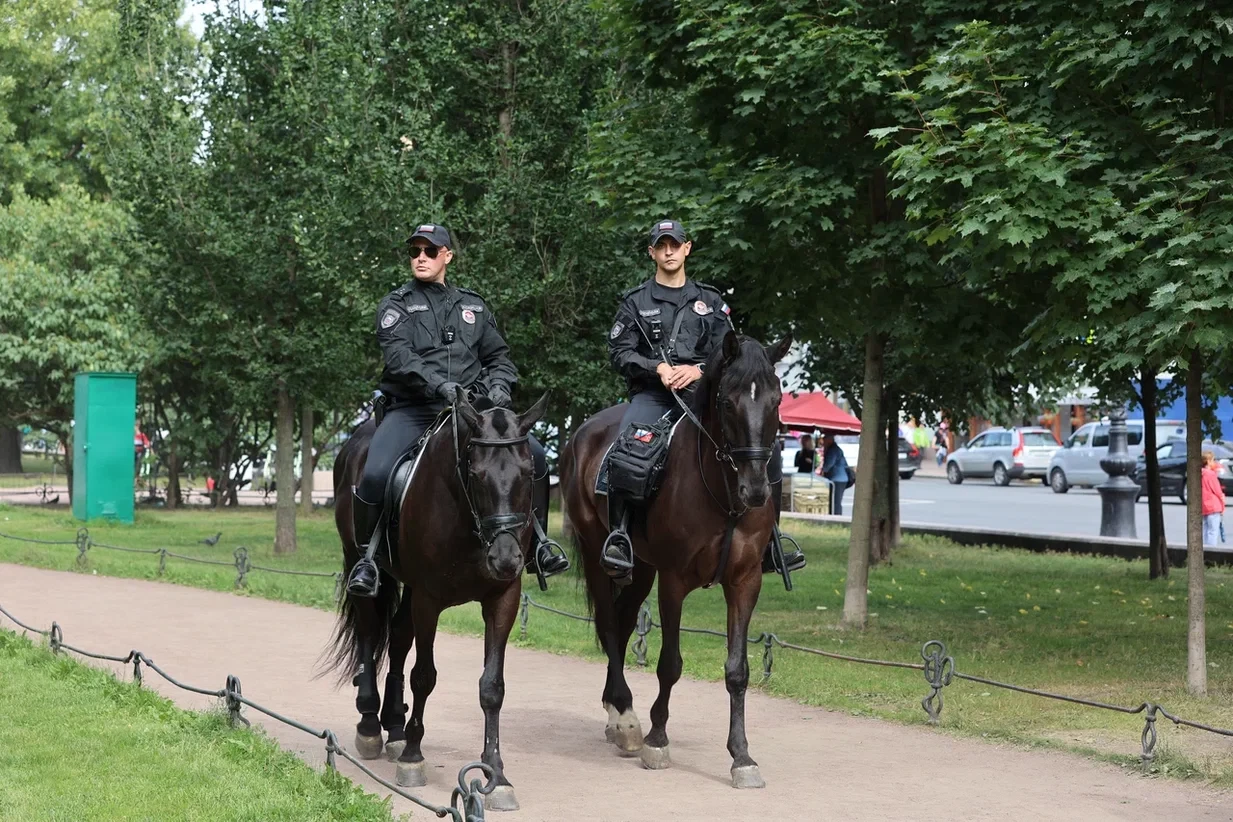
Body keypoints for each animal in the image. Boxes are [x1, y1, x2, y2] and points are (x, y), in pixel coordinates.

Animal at [323, 389, 544, 813]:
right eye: (477, 475)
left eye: (528, 474)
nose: (506, 558)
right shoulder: (428, 599)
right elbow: (424, 676)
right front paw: (413, 756)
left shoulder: (502, 599)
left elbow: (492, 687)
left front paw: (496, 775)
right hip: (365, 565)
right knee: (371, 632)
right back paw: (372, 725)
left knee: (397, 638)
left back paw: (394, 725)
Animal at [559, 335, 789, 788]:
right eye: (728, 402)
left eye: (776, 400)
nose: (756, 490)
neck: (723, 495)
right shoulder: (674, 581)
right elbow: (670, 664)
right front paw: (657, 740)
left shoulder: (745, 582)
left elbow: (738, 670)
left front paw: (742, 757)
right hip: (600, 559)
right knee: (609, 626)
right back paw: (628, 719)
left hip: (640, 571)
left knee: (623, 622)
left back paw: (617, 713)